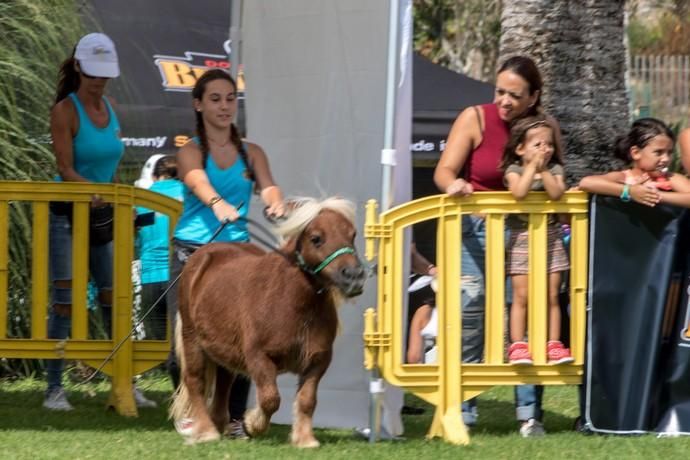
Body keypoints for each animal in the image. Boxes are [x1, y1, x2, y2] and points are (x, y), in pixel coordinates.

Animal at [170, 197, 366, 446]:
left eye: (352, 234)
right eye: (316, 238)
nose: (354, 277)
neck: (293, 303)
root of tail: (201, 254)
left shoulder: (318, 360)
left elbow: (307, 400)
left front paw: (305, 440)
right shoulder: (259, 357)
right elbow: (270, 399)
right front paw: (252, 424)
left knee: (223, 385)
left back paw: (219, 424)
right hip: (192, 339)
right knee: (195, 381)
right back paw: (206, 432)